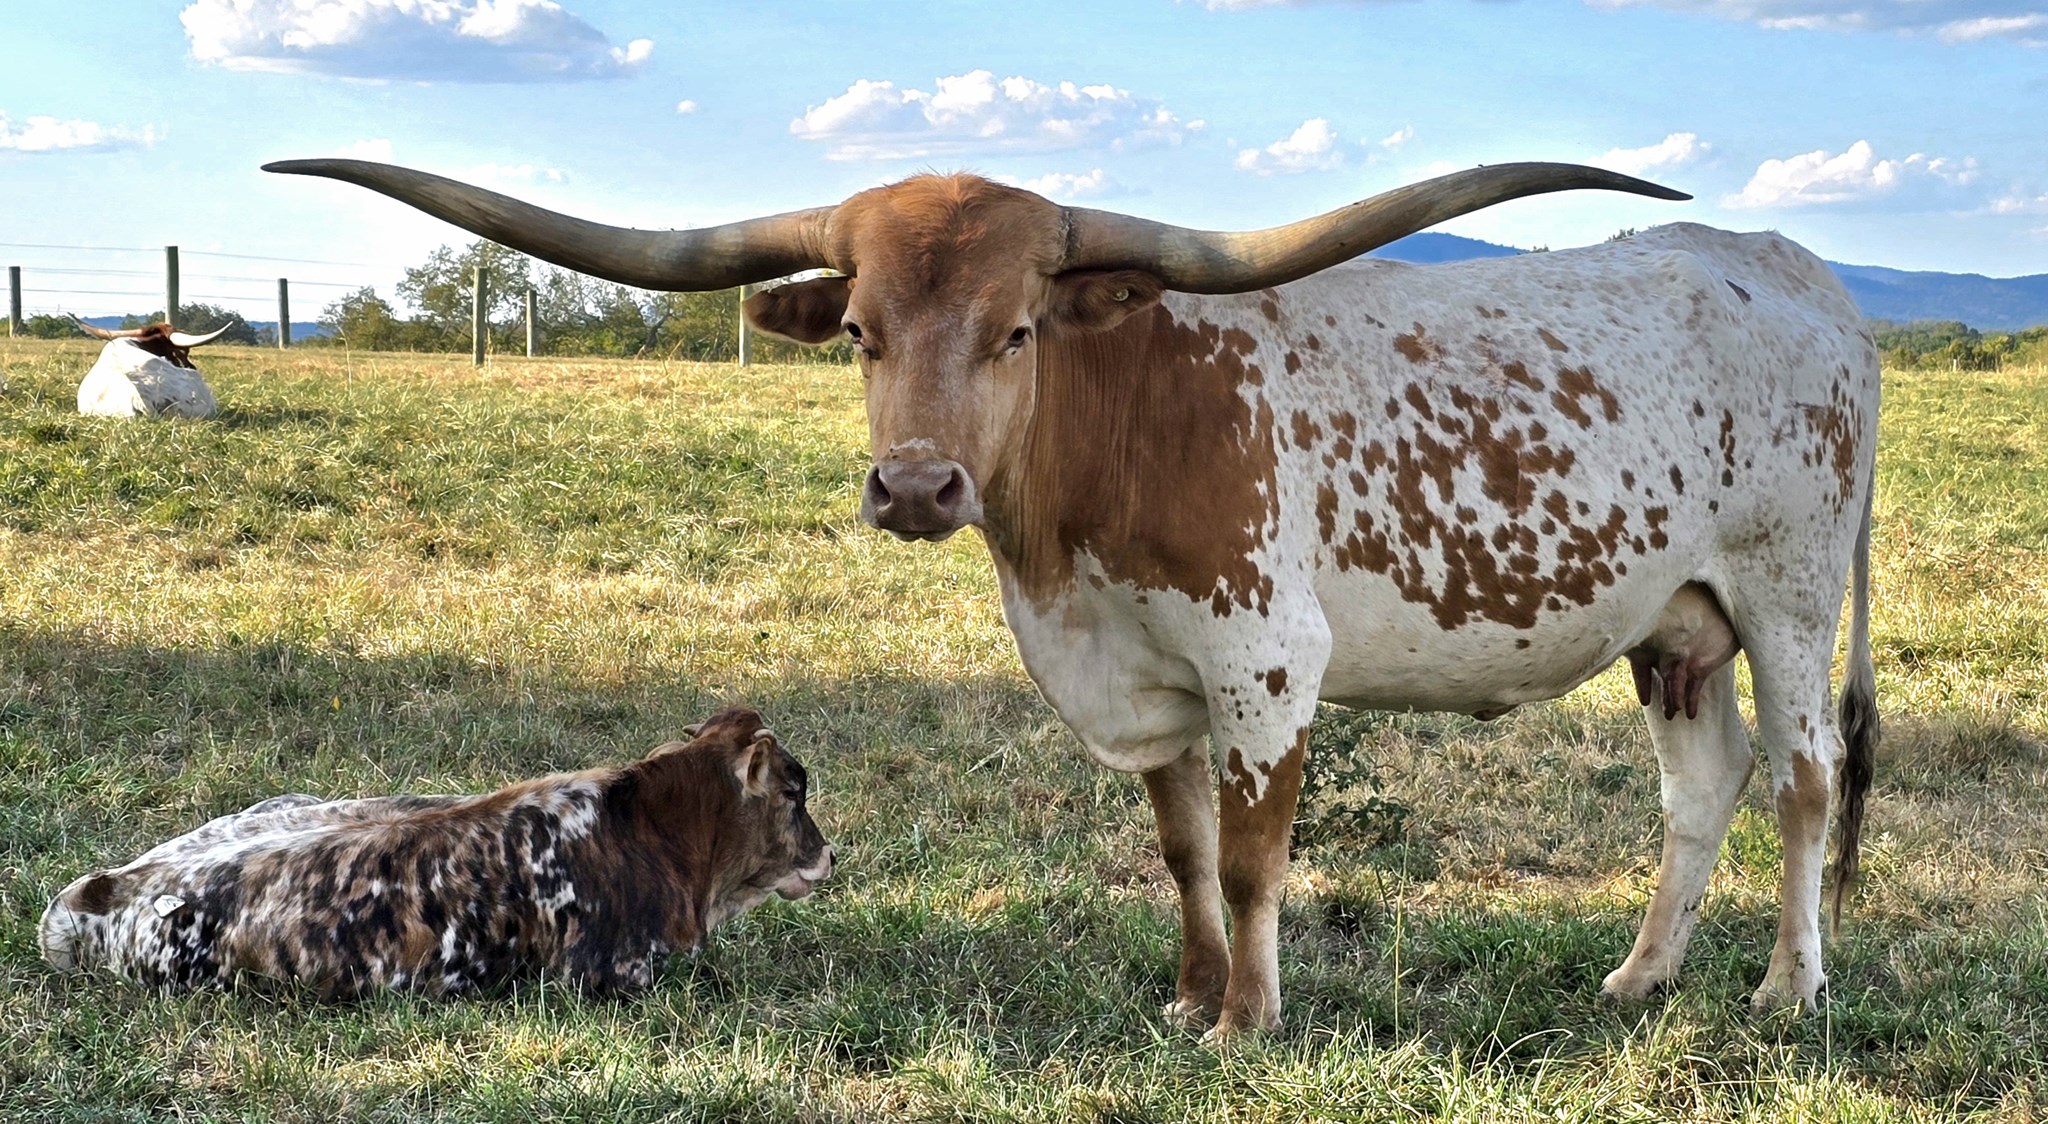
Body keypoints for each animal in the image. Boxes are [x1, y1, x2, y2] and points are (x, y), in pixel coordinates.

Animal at [265, 157, 1879, 1037]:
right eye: (859, 330)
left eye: (1017, 327)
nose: (917, 487)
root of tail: (1801, 276)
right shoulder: (1144, 682)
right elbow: (1181, 853)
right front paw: (1187, 996)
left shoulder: (1264, 664)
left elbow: (1253, 859)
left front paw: (1246, 1023)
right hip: (1674, 621)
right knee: (1702, 784)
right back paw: (1638, 977)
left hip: (1790, 593)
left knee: (1802, 779)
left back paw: (1787, 988)